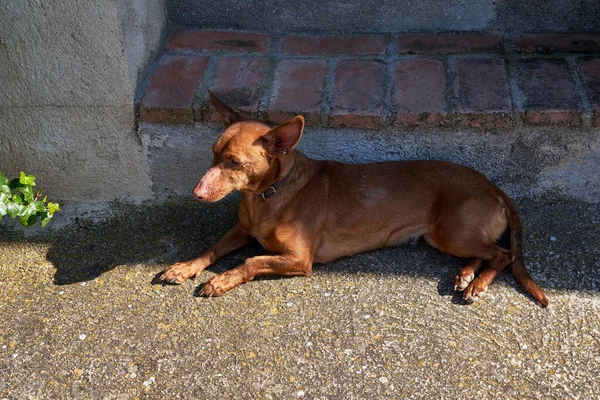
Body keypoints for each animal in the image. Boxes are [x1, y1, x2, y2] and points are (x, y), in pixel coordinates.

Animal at [159, 93, 548, 306]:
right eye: (213, 155)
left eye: (235, 163)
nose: (196, 192)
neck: (268, 197)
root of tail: (493, 186)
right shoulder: (241, 231)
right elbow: (211, 249)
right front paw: (184, 267)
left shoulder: (299, 260)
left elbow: (251, 261)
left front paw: (221, 280)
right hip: (445, 237)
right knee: (486, 252)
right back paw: (465, 275)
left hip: (453, 231)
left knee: (503, 253)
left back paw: (477, 284)